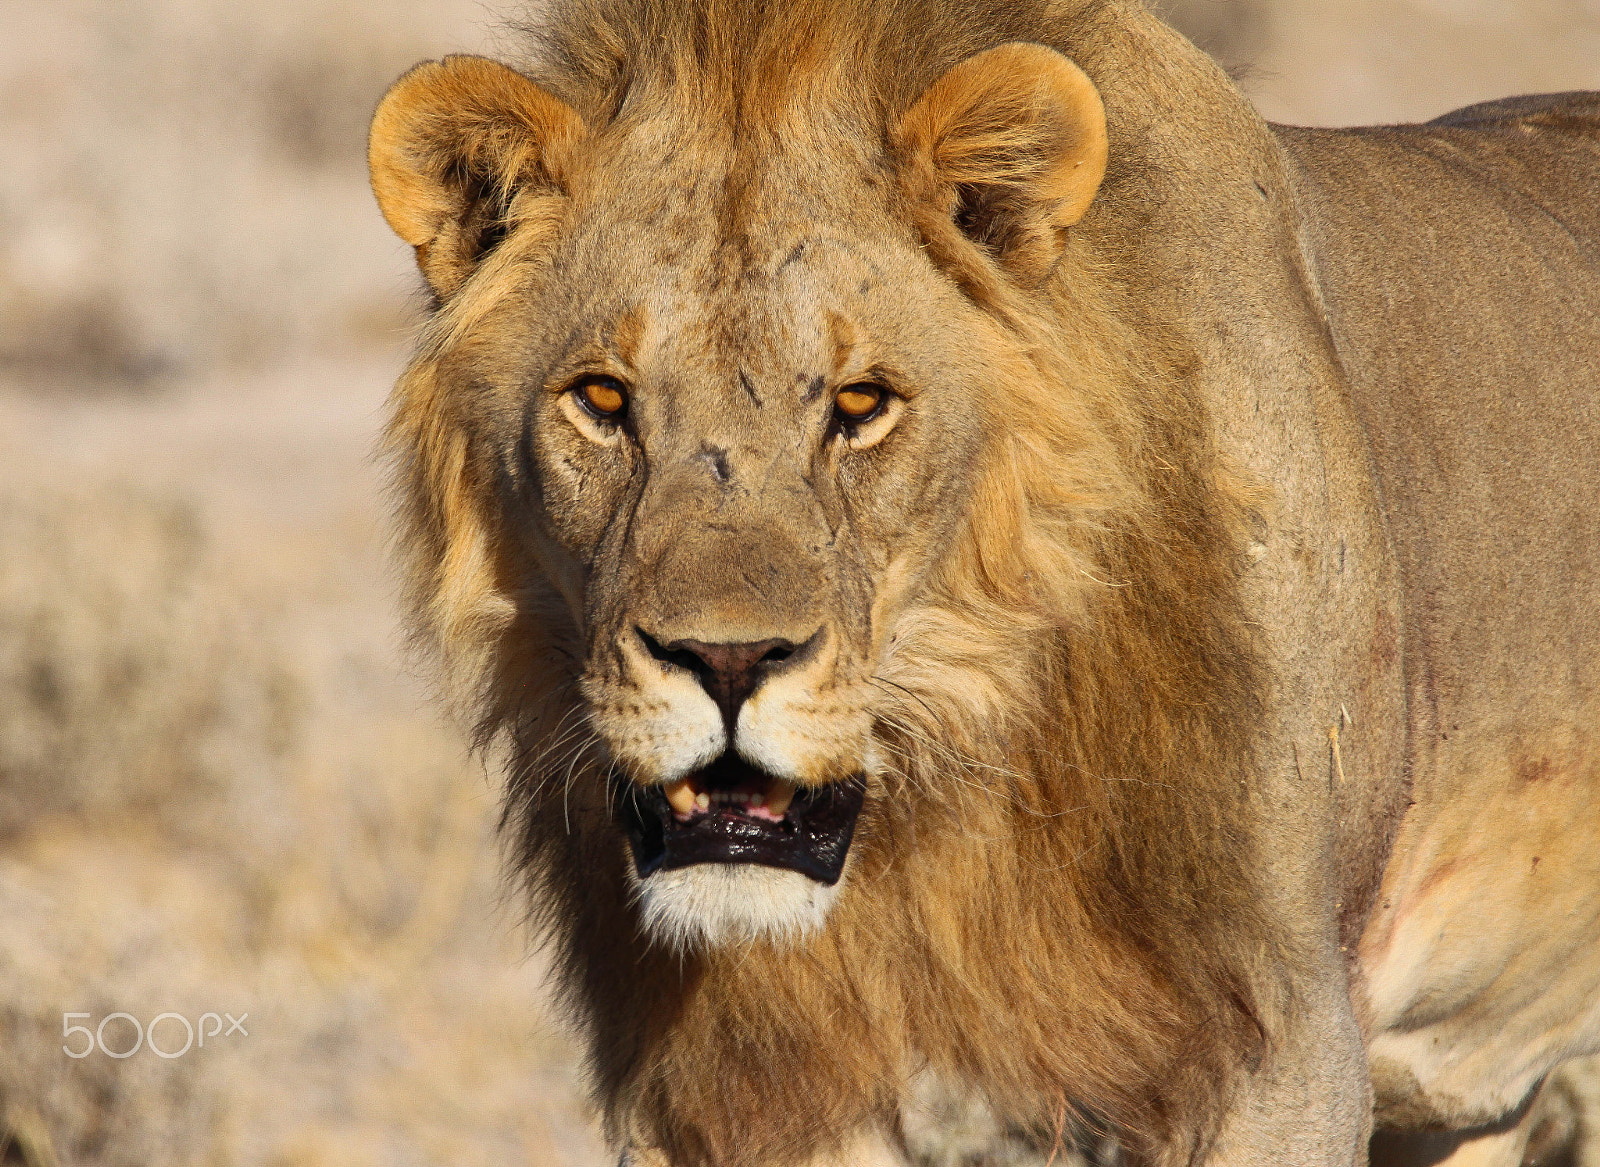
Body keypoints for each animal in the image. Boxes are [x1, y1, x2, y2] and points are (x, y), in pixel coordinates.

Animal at [365, 0, 1600, 1163]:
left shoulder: (1285, 1048)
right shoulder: (746, 1093)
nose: (727, 659)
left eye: (861, 404)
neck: (955, 801)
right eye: (601, 400)